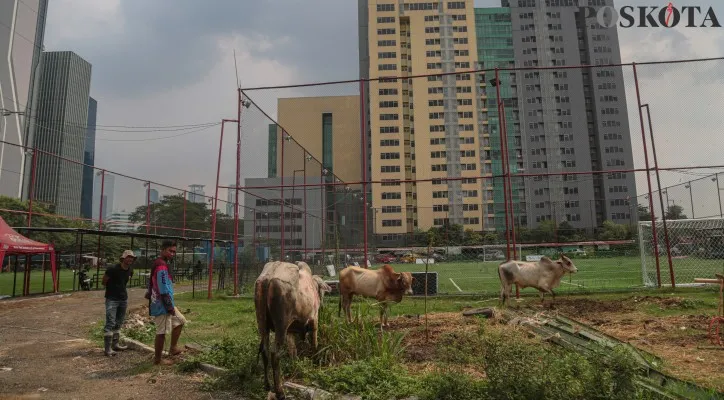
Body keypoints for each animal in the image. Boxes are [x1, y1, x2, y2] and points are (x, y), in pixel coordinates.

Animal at [255, 260, 330, 398]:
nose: (322, 304)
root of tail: (269, 276)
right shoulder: (314, 320)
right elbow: (314, 343)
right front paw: (315, 361)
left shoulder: (290, 330)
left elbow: (292, 349)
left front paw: (295, 363)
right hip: (281, 326)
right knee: (274, 353)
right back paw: (279, 392)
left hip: (262, 324)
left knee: (264, 351)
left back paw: (267, 385)